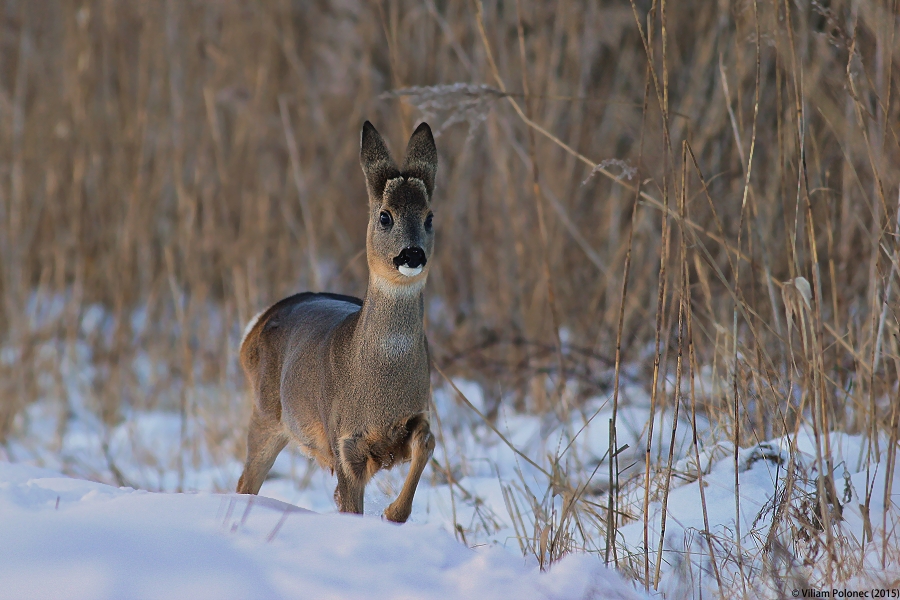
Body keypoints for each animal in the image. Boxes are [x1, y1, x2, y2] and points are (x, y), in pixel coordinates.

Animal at [237, 120, 438, 520]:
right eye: (385, 215)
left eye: (429, 217)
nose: (412, 254)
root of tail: (259, 321)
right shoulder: (344, 443)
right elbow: (350, 509)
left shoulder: (414, 416)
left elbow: (428, 441)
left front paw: (392, 512)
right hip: (265, 414)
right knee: (245, 482)